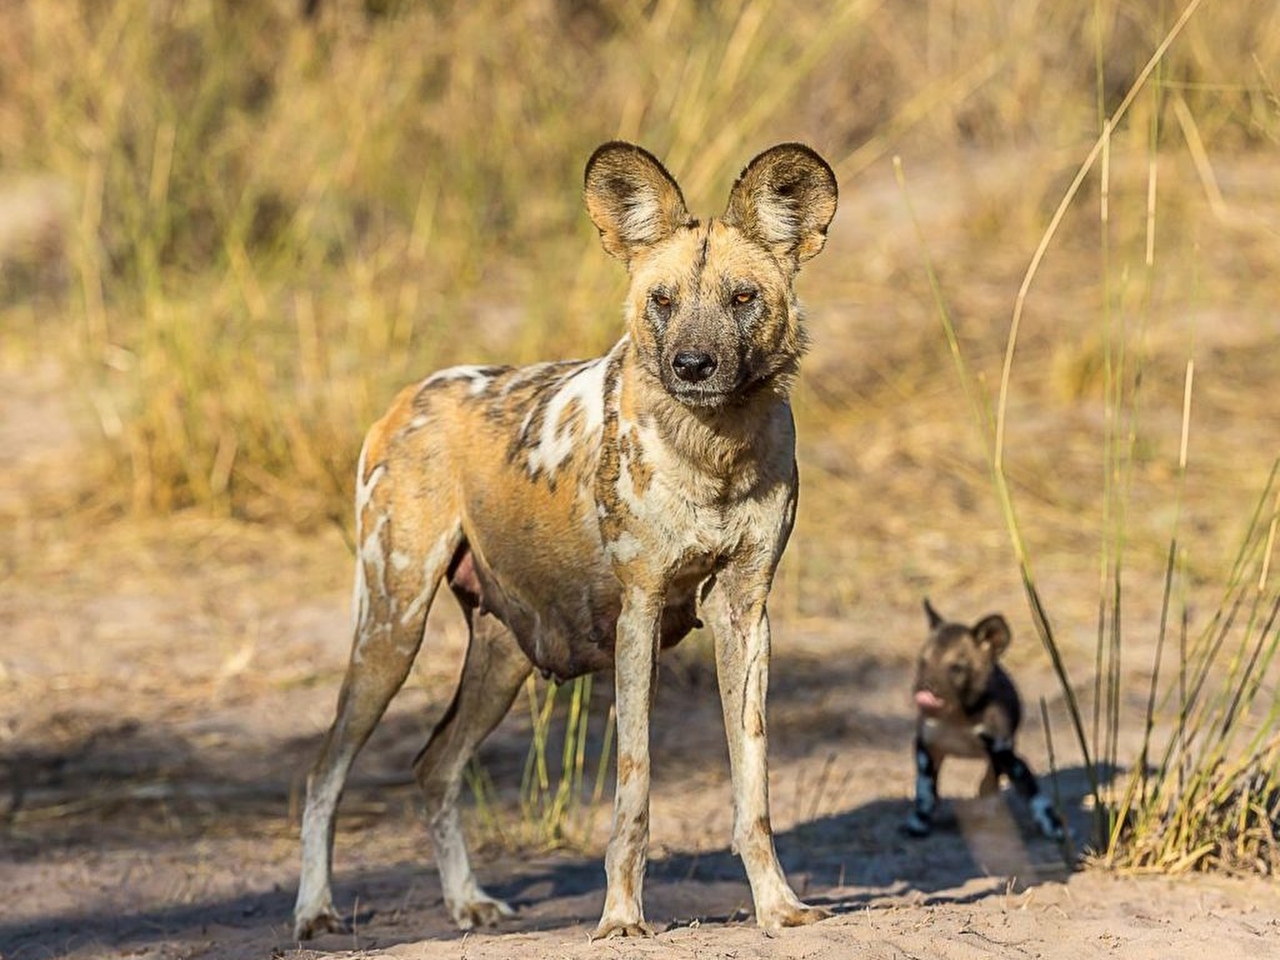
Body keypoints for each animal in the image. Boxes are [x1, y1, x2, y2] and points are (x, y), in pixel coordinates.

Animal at [294, 140, 844, 942]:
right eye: (662, 300)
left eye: (743, 298)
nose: (692, 366)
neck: (712, 450)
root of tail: (406, 400)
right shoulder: (639, 615)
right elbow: (633, 794)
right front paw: (621, 919)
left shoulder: (746, 614)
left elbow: (754, 789)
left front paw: (777, 907)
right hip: (391, 630)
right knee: (324, 771)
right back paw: (315, 911)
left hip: (501, 659)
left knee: (434, 765)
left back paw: (467, 902)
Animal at [906, 604, 1064, 844]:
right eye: (923, 662)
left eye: (956, 668)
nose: (924, 688)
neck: (957, 718)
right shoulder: (926, 747)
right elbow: (925, 790)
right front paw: (919, 822)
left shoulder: (1006, 754)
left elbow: (1032, 792)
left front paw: (1053, 826)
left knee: (989, 783)